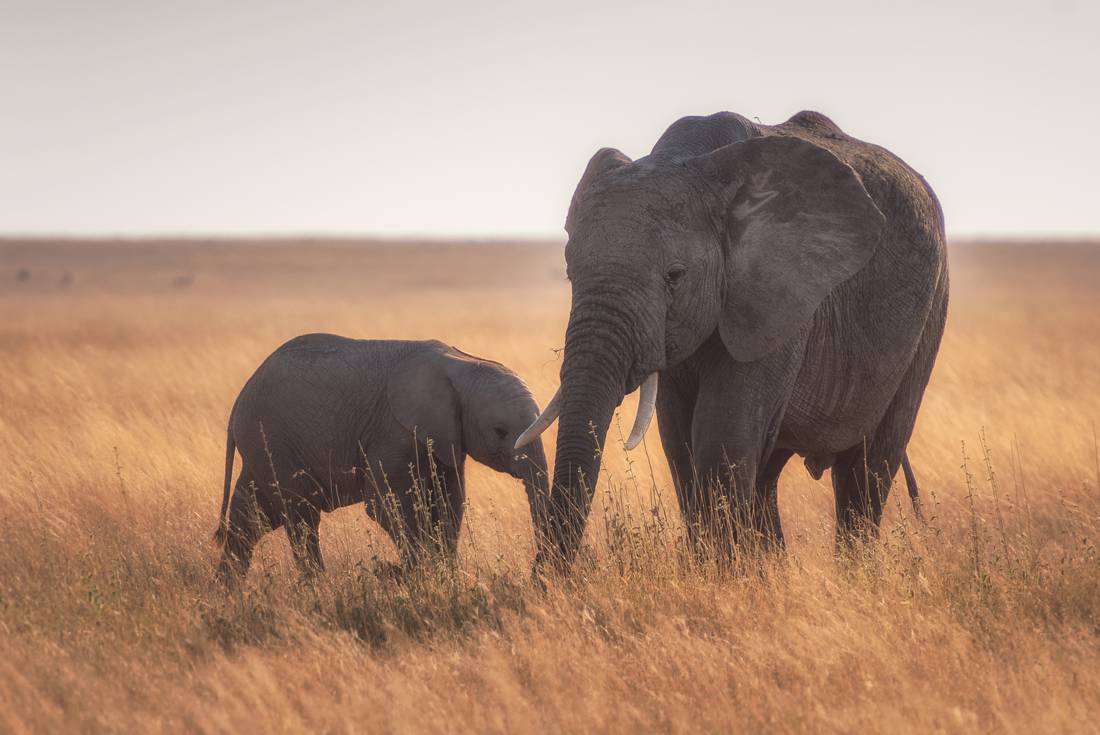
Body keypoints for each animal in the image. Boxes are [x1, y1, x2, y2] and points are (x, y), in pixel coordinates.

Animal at [213, 334, 549, 579]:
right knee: (301, 517)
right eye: (499, 431)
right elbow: (387, 505)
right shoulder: (393, 431)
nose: (537, 572)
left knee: (251, 518)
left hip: (264, 447)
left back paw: (228, 592)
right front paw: (419, 577)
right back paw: (317, 588)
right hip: (271, 440)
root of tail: (238, 401)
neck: (462, 364)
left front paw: (445, 577)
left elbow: (449, 502)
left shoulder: (445, 437)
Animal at [516, 110, 948, 567]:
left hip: (930, 312)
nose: (545, 578)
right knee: (768, 474)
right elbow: (680, 441)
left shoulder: (780, 296)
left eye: (675, 276)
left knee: (867, 469)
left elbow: (721, 435)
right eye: (570, 273)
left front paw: (722, 575)